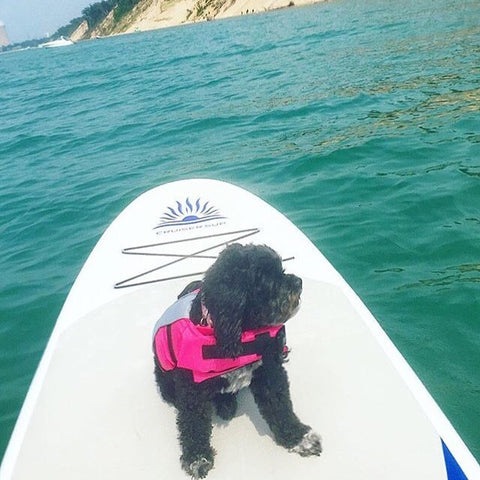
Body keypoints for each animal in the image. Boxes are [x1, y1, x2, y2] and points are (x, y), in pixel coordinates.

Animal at [154, 246, 320, 478]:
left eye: (281, 269)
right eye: (267, 279)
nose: (298, 282)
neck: (238, 332)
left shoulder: (269, 372)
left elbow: (281, 407)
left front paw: (299, 439)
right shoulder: (192, 389)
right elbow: (193, 423)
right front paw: (197, 458)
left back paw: (227, 404)